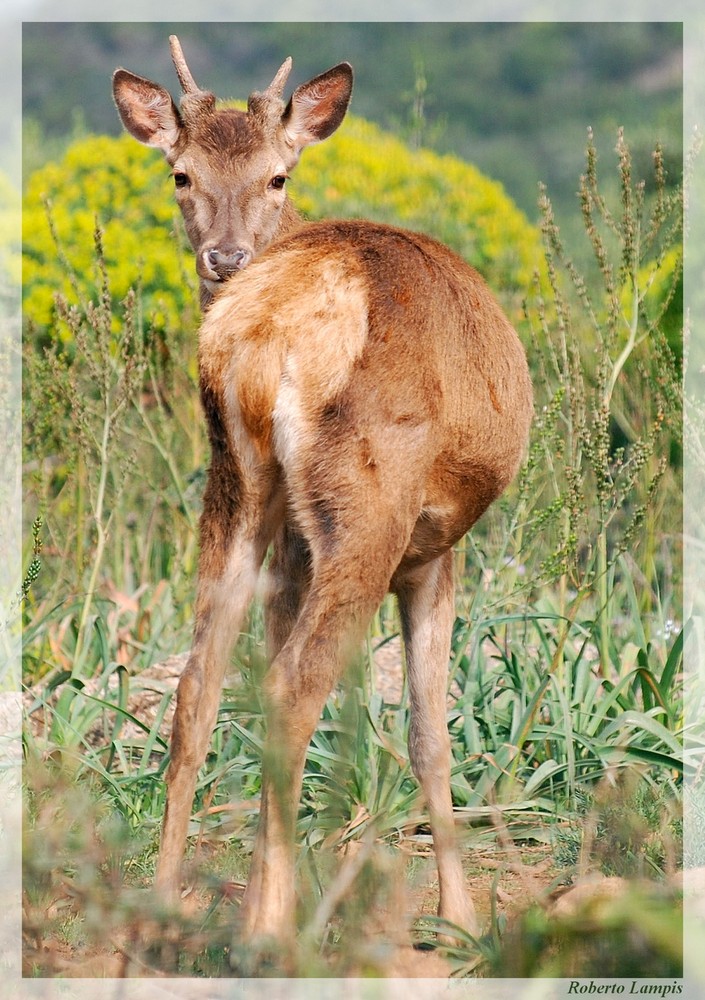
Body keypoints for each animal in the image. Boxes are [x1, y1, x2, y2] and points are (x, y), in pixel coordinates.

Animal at [113, 35, 532, 948]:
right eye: (181, 174)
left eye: (276, 175)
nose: (223, 257)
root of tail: (270, 331)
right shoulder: (437, 547)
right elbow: (427, 729)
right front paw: (458, 919)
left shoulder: (295, 544)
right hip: (370, 498)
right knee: (292, 689)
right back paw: (273, 931)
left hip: (236, 481)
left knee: (200, 685)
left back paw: (165, 903)